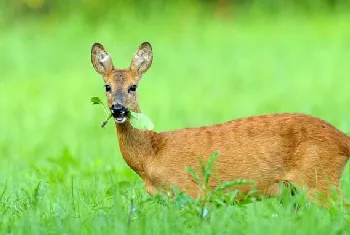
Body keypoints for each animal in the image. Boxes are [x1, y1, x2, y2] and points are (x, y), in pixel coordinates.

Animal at [91, 41, 350, 203]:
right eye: (107, 87)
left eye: (133, 87)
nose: (118, 109)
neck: (152, 156)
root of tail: (342, 139)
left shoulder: (192, 192)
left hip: (318, 178)